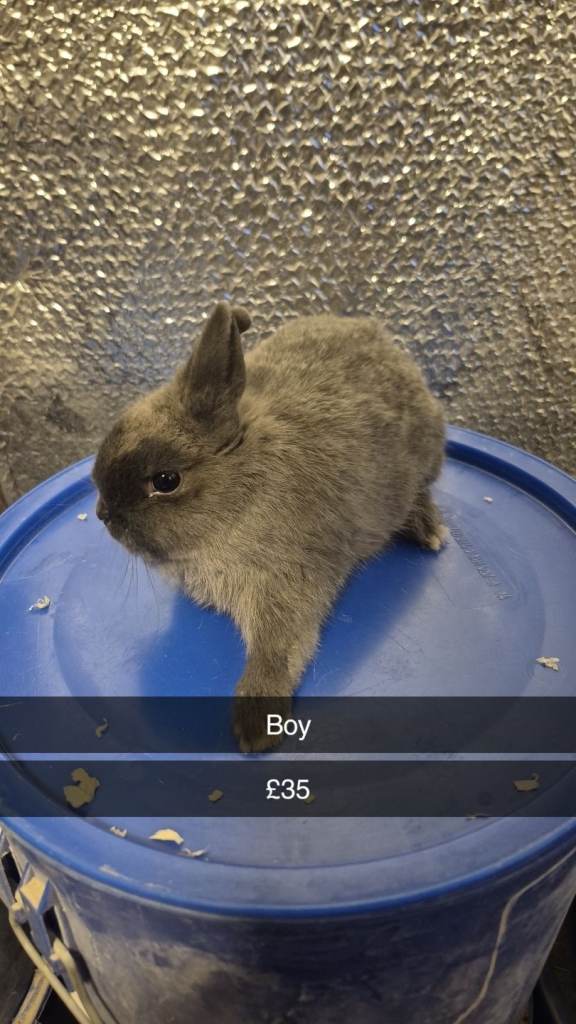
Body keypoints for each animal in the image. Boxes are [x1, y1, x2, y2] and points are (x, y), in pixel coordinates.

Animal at [92, 302, 447, 752]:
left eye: (166, 481)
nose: (103, 513)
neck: (240, 490)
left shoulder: (286, 585)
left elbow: (278, 650)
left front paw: (256, 728)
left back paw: (430, 531)